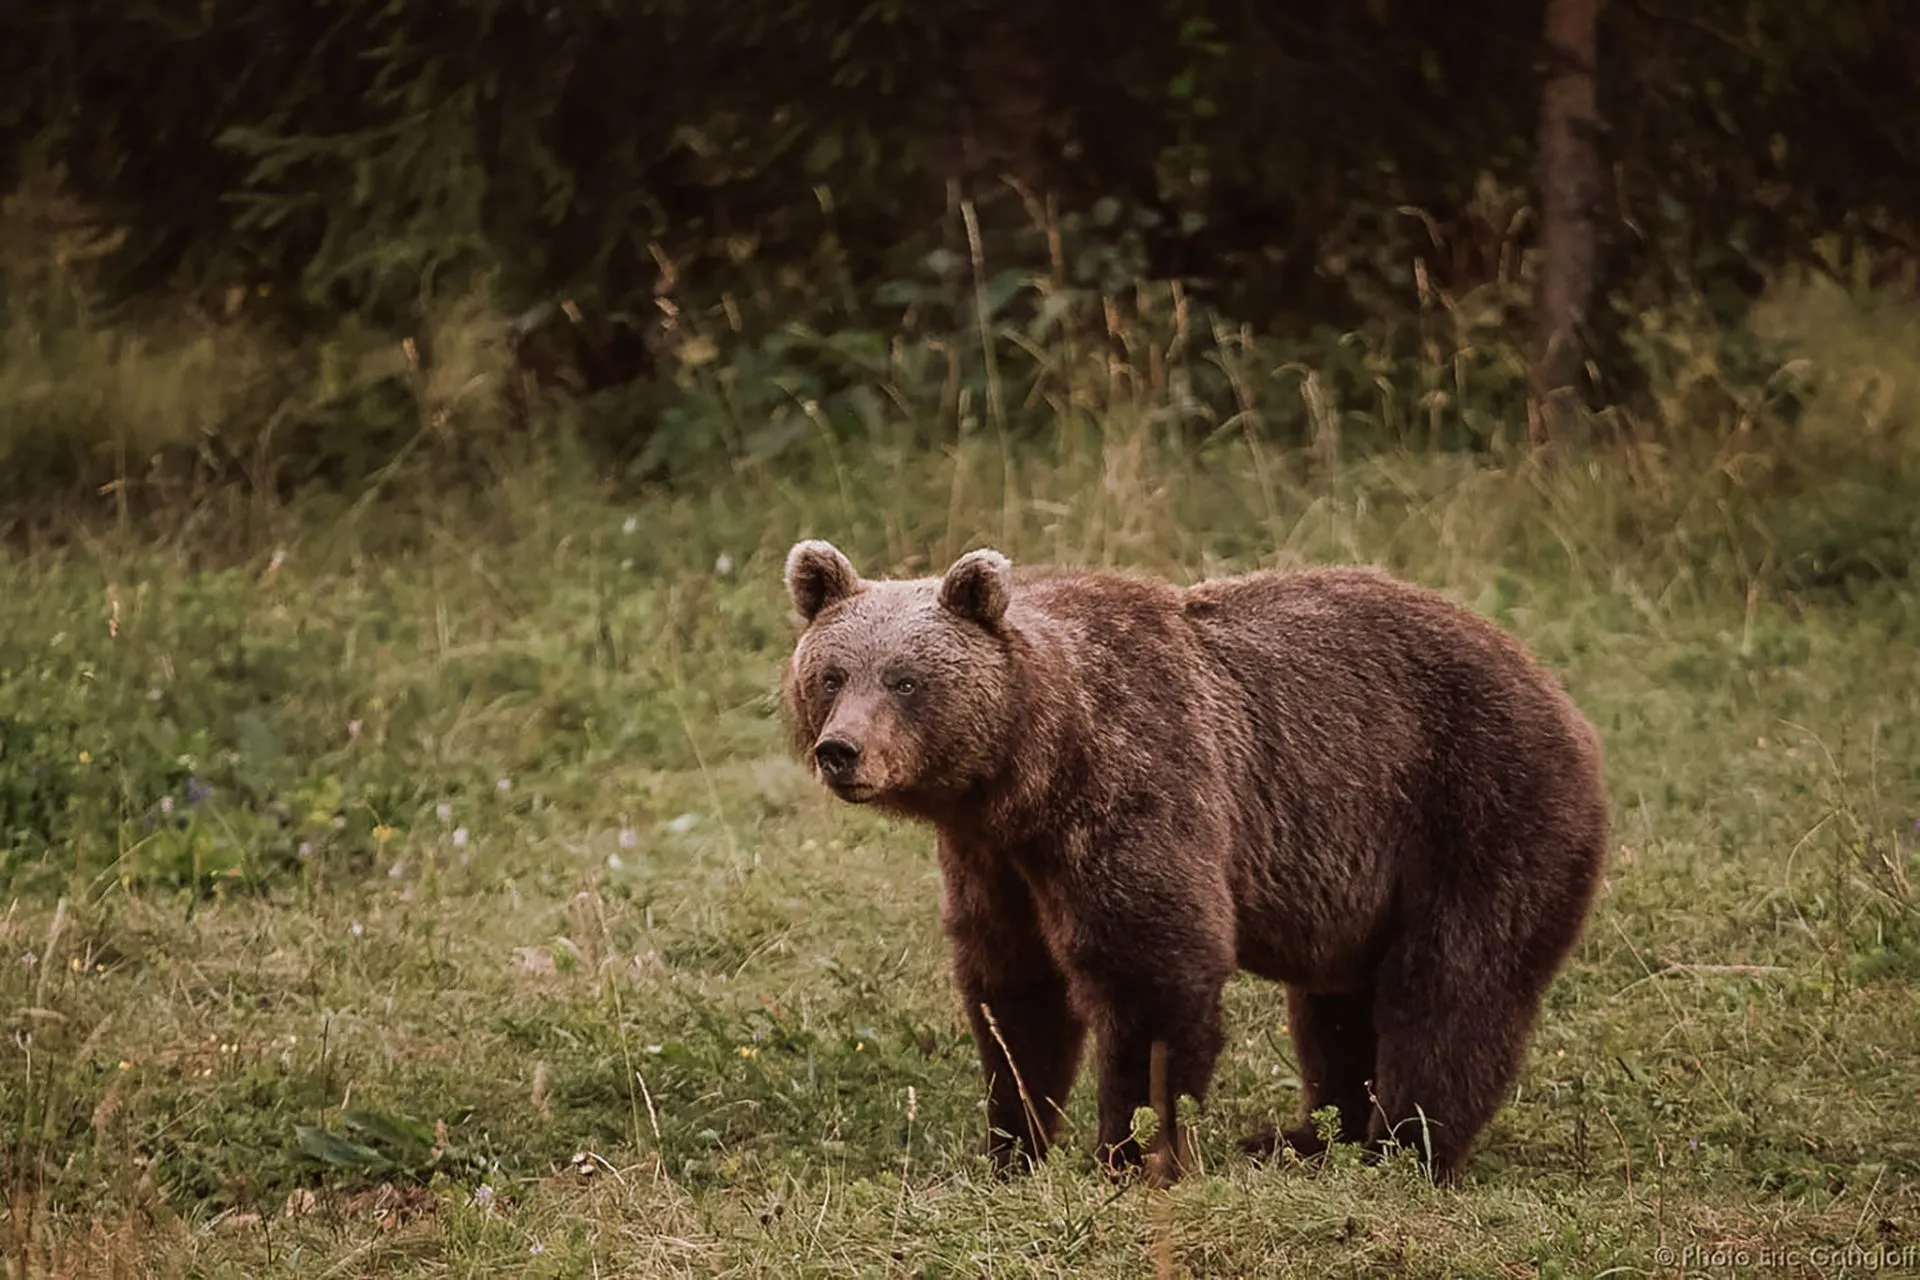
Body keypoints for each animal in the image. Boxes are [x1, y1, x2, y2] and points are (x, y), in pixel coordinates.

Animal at [779, 539, 1609, 1183]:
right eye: (832, 674)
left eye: (906, 680)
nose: (842, 751)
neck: (1033, 769)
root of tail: (1558, 693)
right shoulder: (993, 860)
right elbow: (1014, 994)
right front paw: (1011, 1148)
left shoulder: (1138, 788)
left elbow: (1153, 978)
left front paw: (1129, 1153)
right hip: (1360, 882)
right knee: (1336, 1011)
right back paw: (1306, 1138)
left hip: (1477, 807)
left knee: (1453, 987)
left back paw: (1402, 1150)